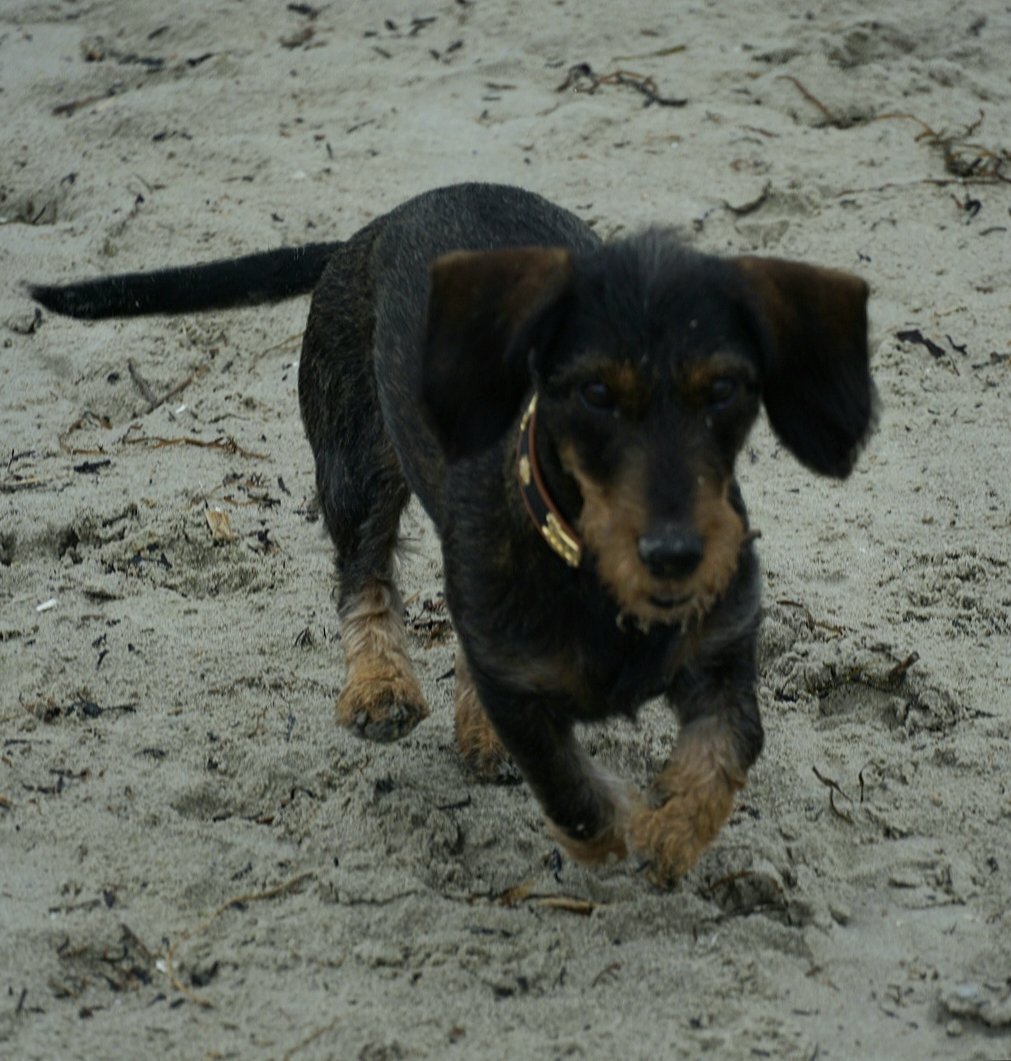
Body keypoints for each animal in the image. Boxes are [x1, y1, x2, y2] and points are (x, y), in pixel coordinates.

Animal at [31, 182, 875, 884]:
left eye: (725, 390)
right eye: (594, 393)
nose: (678, 557)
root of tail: (375, 226)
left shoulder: (722, 658)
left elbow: (725, 752)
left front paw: (669, 833)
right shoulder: (515, 676)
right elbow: (567, 787)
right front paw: (616, 830)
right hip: (355, 464)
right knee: (363, 577)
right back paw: (379, 687)